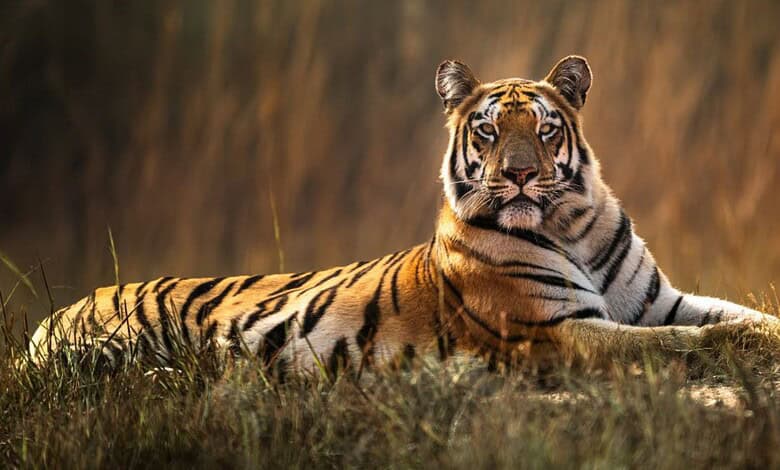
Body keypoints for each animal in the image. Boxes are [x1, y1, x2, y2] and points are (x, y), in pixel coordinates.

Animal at [28, 55, 776, 374]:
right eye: (487, 131)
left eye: (542, 128)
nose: (519, 174)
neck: (571, 226)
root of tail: (58, 312)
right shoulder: (557, 331)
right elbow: (684, 343)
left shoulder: (660, 302)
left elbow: (739, 314)